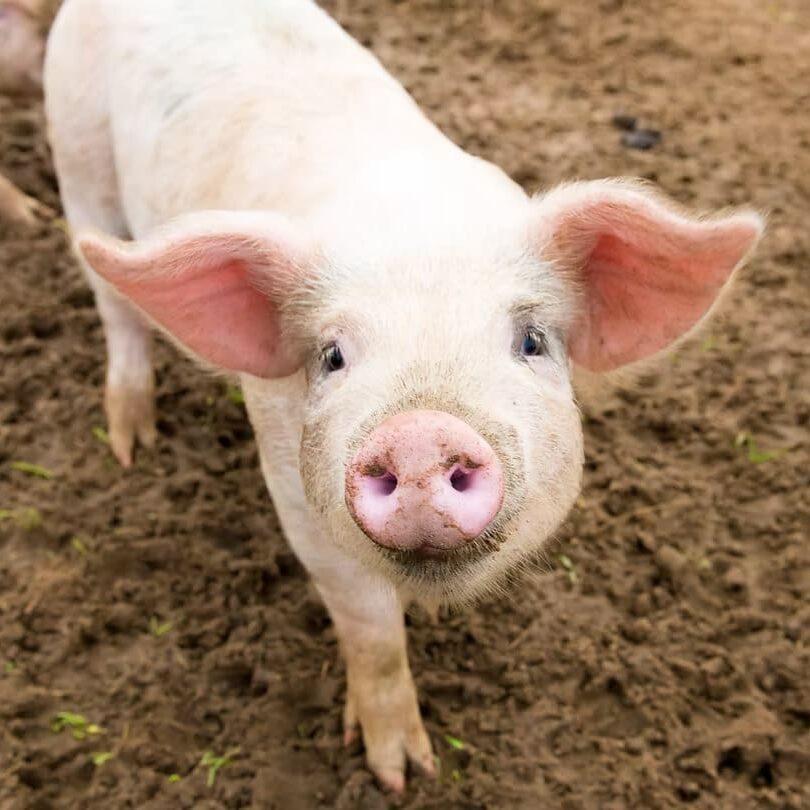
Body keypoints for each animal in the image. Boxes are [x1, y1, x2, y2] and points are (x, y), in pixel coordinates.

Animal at [44, 0, 763, 792]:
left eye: (532, 341)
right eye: (332, 356)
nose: (419, 434)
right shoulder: (293, 486)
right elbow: (371, 631)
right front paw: (401, 773)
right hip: (76, 150)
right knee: (114, 304)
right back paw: (131, 445)